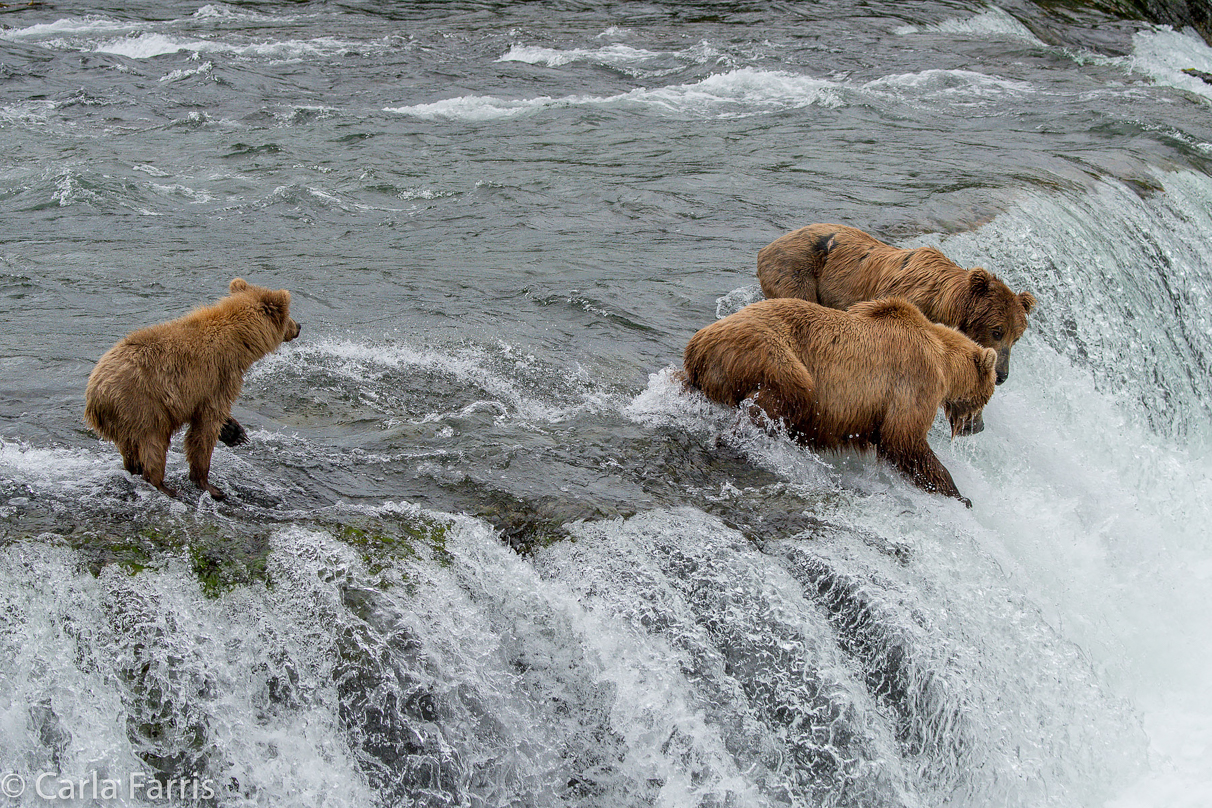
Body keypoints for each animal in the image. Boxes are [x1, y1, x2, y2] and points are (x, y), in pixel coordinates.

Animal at [85, 281, 300, 501]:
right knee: (153, 444)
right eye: (288, 315)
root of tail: (96, 394)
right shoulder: (216, 377)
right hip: (142, 406)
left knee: (129, 450)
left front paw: (235, 432)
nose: (298, 326)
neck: (240, 341)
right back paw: (163, 485)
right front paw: (209, 484)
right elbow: (205, 428)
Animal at [678, 296, 998, 506]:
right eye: (988, 395)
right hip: (769, 353)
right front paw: (959, 494)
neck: (944, 360)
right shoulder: (915, 380)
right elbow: (904, 440)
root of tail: (699, 344)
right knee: (788, 394)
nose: (979, 427)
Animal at [756, 222, 1032, 385]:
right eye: (997, 331)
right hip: (797, 272)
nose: (1002, 375)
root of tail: (767, 246)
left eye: (1016, 337)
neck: (944, 304)